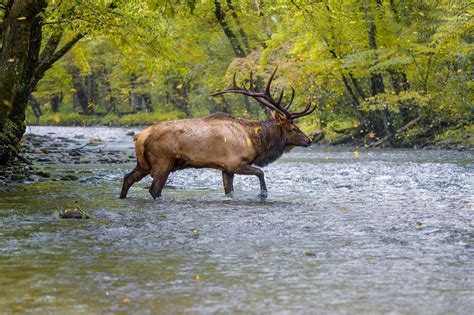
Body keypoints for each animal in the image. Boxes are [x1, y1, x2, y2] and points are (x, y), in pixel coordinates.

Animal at [120, 68, 316, 200]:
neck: (256, 141)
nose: (309, 140)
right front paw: (263, 194)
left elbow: (229, 191)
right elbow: (260, 172)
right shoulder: (234, 163)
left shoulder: (225, 169)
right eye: (293, 128)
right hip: (163, 162)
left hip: (144, 164)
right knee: (154, 189)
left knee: (127, 178)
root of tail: (139, 137)